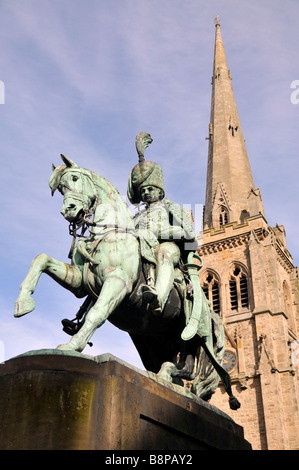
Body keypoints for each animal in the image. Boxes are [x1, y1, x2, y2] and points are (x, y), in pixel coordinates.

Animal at [14, 153, 241, 408]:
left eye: (74, 178)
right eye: (60, 188)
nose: (69, 211)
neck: (109, 233)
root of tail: (214, 316)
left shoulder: (118, 282)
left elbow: (96, 314)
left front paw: (73, 345)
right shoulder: (79, 282)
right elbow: (41, 259)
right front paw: (24, 303)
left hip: (191, 337)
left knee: (190, 367)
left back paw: (167, 372)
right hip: (152, 340)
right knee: (179, 367)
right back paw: (166, 378)